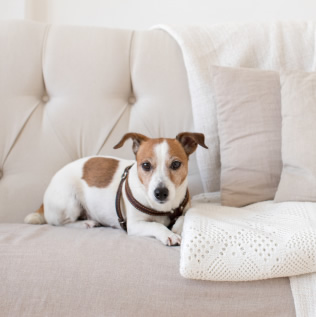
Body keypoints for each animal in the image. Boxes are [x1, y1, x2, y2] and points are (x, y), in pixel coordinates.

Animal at [24, 131, 207, 244]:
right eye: (146, 165)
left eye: (176, 164)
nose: (160, 193)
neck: (164, 209)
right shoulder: (134, 225)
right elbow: (156, 225)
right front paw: (168, 234)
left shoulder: (184, 208)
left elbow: (184, 216)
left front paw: (176, 227)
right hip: (70, 203)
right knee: (57, 223)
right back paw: (86, 223)